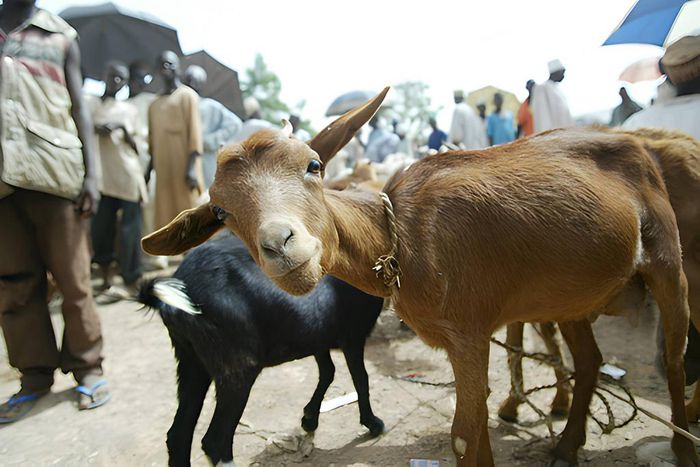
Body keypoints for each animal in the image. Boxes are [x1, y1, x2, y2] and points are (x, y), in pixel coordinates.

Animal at [138, 232, 385, 466]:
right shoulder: (352, 335)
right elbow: (360, 379)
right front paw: (372, 423)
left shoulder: (317, 337)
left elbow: (327, 372)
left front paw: (309, 418)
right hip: (237, 367)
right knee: (214, 440)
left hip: (191, 362)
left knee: (178, 434)